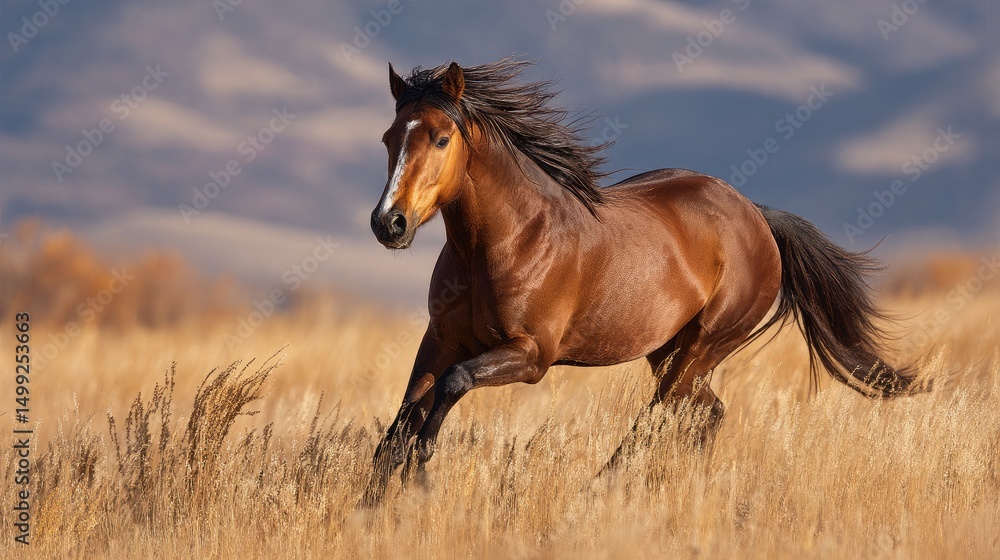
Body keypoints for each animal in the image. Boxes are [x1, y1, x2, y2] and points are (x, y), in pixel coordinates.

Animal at [363, 57, 919, 505]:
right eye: (389, 138)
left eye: (441, 138)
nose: (389, 223)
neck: (507, 240)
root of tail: (756, 216)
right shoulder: (442, 339)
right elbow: (401, 421)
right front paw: (375, 502)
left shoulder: (531, 355)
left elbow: (450, 387)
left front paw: (421, 469)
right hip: (670, 354)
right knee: (706, 414)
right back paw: (679, 487)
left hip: (701, 347)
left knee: (659, 419)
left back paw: (600, 491)